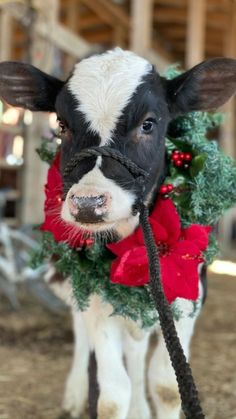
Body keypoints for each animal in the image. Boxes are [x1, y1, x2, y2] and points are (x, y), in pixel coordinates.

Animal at [0, 50, 236, 419]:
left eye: (148, 123)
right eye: (62, 125)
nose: (88, 203)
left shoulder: (190, 296)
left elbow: (167, 387)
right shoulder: (97, 296)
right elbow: (112, 395)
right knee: (84, 331)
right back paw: (76, 394)